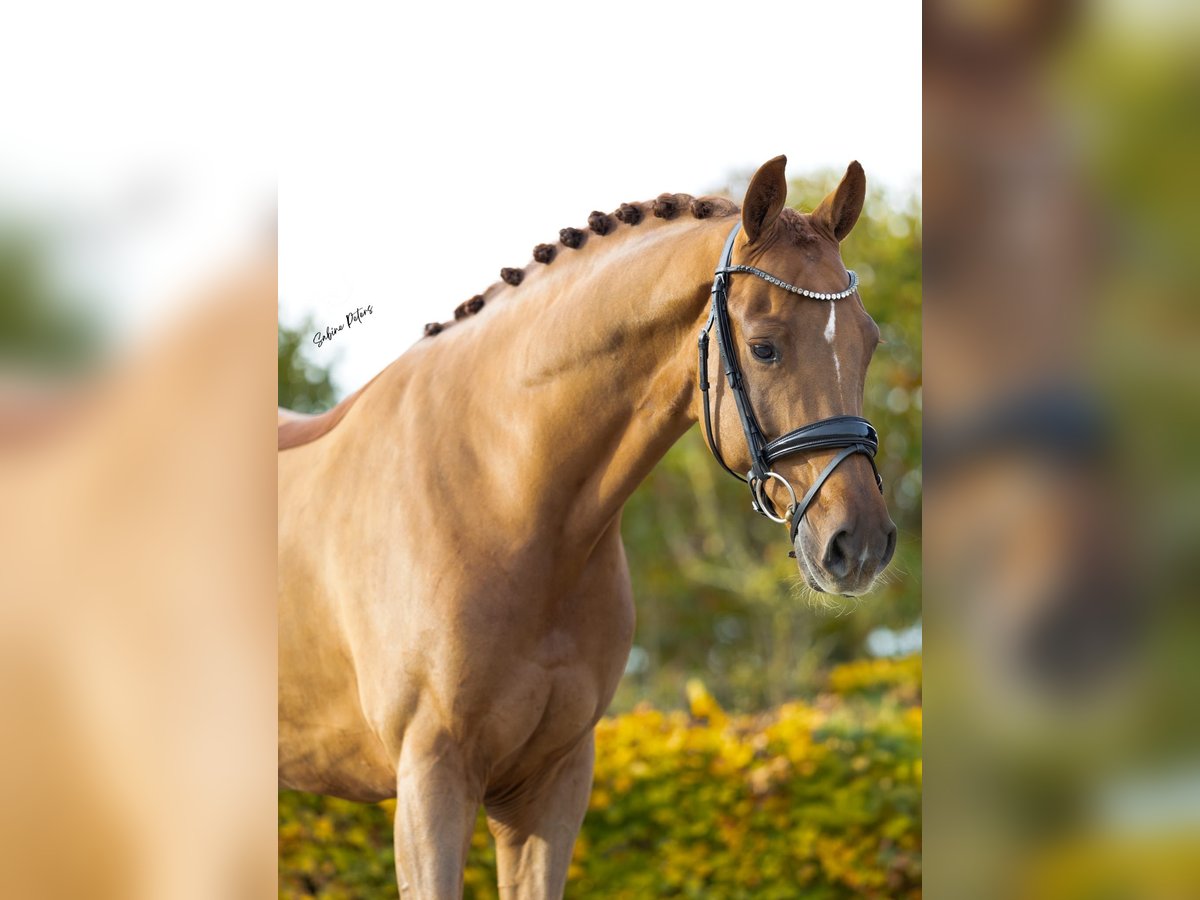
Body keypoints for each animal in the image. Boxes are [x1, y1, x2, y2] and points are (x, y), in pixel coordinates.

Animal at [278, 155, 896, 898]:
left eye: (869, 342)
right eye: (764, 347)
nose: (859, 545)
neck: (504, 503)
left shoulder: (553, 784)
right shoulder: (430, 781)